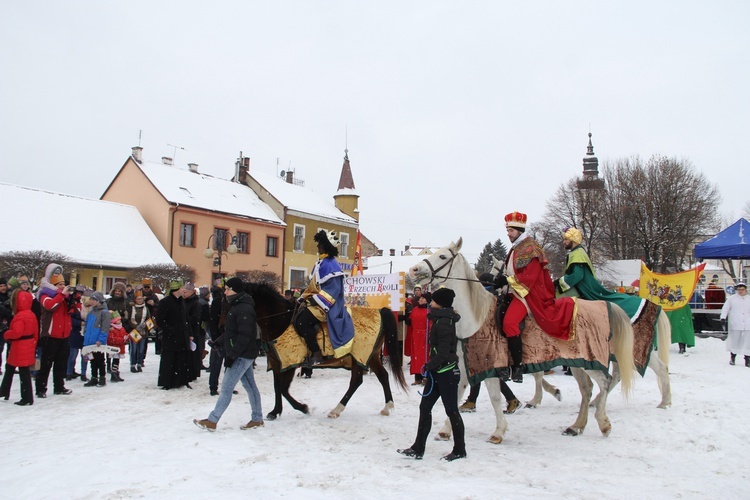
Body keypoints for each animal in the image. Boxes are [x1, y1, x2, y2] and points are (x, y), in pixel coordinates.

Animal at [247, 284, 408, 420]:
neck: (281, 320)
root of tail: (379, 311)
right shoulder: (277, 363)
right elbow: (277, 387)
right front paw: (275, 411)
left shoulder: (290, 363)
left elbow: (283, 389)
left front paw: (303, 408)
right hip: (371, 355)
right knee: (382, 375)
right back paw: (387, 407)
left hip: (359, 356)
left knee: (356, 381)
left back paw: (336, 410)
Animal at [412, 238, 640, 442]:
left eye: (443, 256)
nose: (414, 269)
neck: (476, 317)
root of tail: (603, 306)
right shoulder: (467, 365)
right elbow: (456, 394)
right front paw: (446, 430)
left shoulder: (490, 366)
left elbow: (495, 397)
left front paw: (498, 431)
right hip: (578, 362)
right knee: (587, 388)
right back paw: (576, 426)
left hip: (590, 360)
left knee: (605, 382)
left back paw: (603, 422)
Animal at [494, 258, 676, 410]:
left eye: (496, 270)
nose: (496, 285)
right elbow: (536, 373)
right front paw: (549, 393)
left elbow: (536, 373)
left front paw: (537, 398)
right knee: (617, 375)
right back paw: (597, 401)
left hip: (631, 350)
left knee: (659, 368)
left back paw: (664, 402)